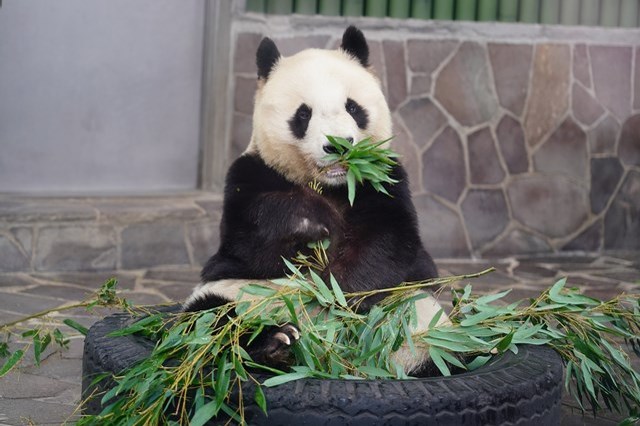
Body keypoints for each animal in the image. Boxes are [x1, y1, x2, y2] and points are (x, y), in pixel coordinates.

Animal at [182, 25, 448, 372]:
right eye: (303, 114)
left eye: (353, 108)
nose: (339, 145)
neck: (331, 186)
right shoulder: (249, 176)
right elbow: (248, 243)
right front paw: (310, 222)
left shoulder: (383, 179)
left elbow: (388, 241)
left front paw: (341, 292)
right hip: (236, 294)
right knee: (212, 321)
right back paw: (276, 342)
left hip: (415, 318)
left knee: (426, 340)